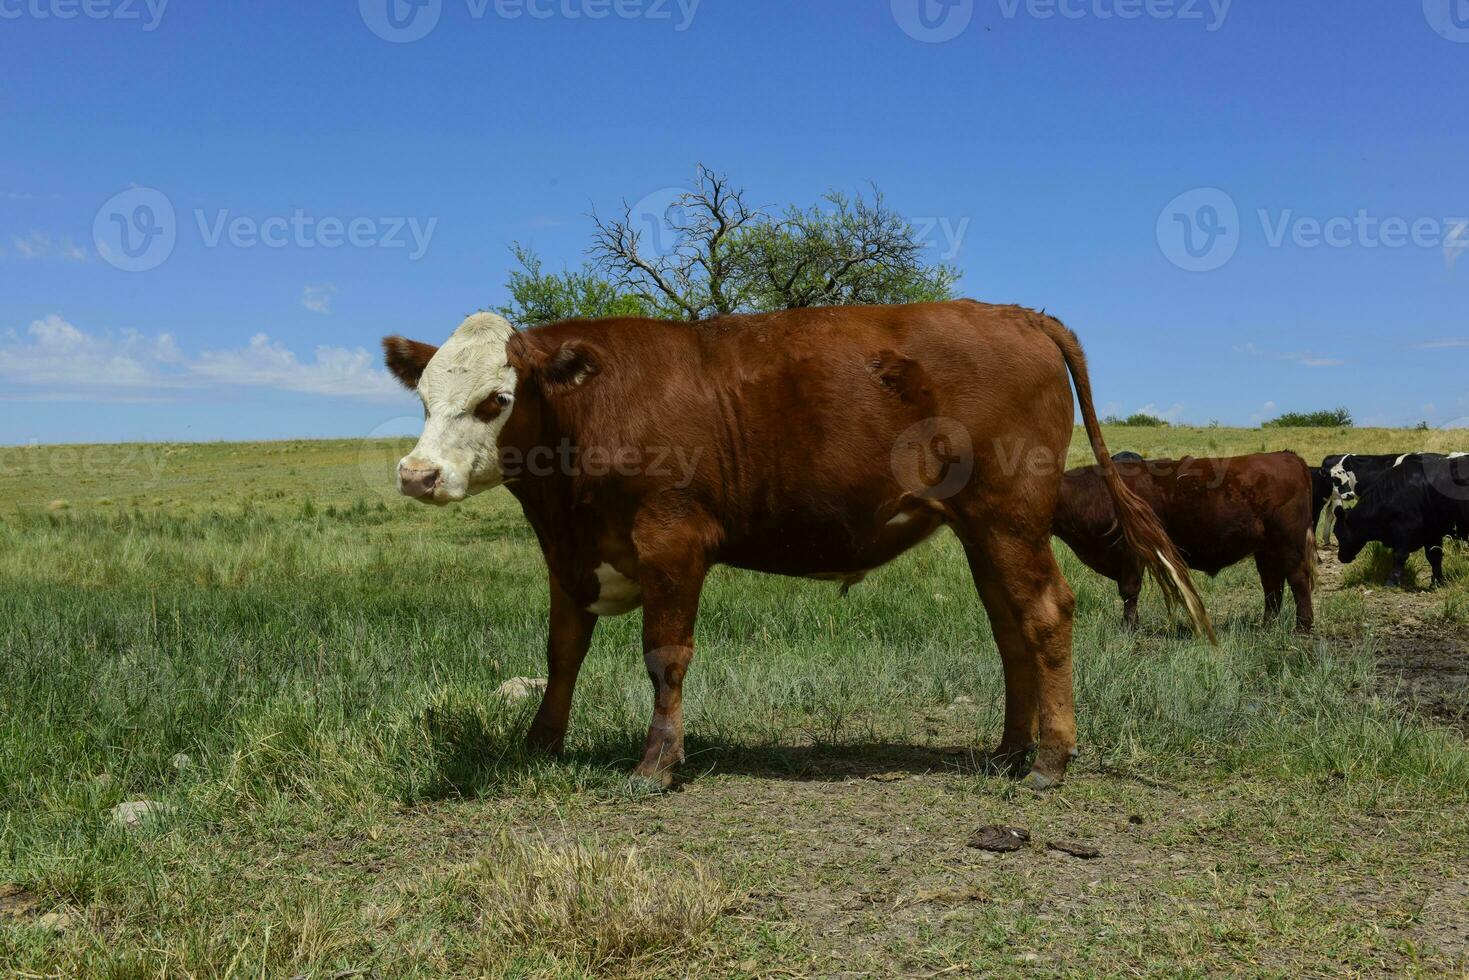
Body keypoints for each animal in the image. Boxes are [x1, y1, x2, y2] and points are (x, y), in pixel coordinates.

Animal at [384, 302, 1210, 793]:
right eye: (423, 400)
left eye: (495, 400)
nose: (416, 474)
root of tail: (1014, 312)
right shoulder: (568, 553)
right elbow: (561, 652)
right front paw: (541, 742)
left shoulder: (672, 542)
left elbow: (664, 656)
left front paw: (656, 765)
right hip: (983, 528)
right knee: (1010, 628)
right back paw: (1007, 751)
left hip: (1009, 515)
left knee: (1044, 615)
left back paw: (1048, 759)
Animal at [1057, 452, 1322, 628]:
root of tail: (1287, 456)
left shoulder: (1130, 554)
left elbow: (1130, 590)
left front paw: (1129, 627)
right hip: (1267, 549)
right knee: (1272, 584)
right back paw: (1267, 625)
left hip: (1289, 544)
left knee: (1298, 580)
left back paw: (1303, 626)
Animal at [1339, 455, 1463, 587]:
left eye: (1339, 534)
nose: (1340, 557)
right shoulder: (1431, 532)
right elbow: (1434, 555)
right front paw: (1438, 582)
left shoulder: (1408, 529)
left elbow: (1400, 555)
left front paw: (1391, 582)